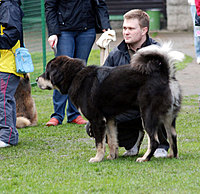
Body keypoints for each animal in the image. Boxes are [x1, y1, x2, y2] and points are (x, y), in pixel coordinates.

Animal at [36, 43, 184, 162]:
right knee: (173, 136)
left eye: (47, 71)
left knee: (154, 141)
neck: (75, 76)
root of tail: (165, 74)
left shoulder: (97, 120)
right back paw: (172, 155)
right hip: (168, 117)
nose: (37, 79)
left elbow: (99, 143)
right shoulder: (110, 119)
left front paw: (97, 158)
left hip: (147, 116)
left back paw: (145, 158)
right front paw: (112, 157)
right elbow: (112, 141)